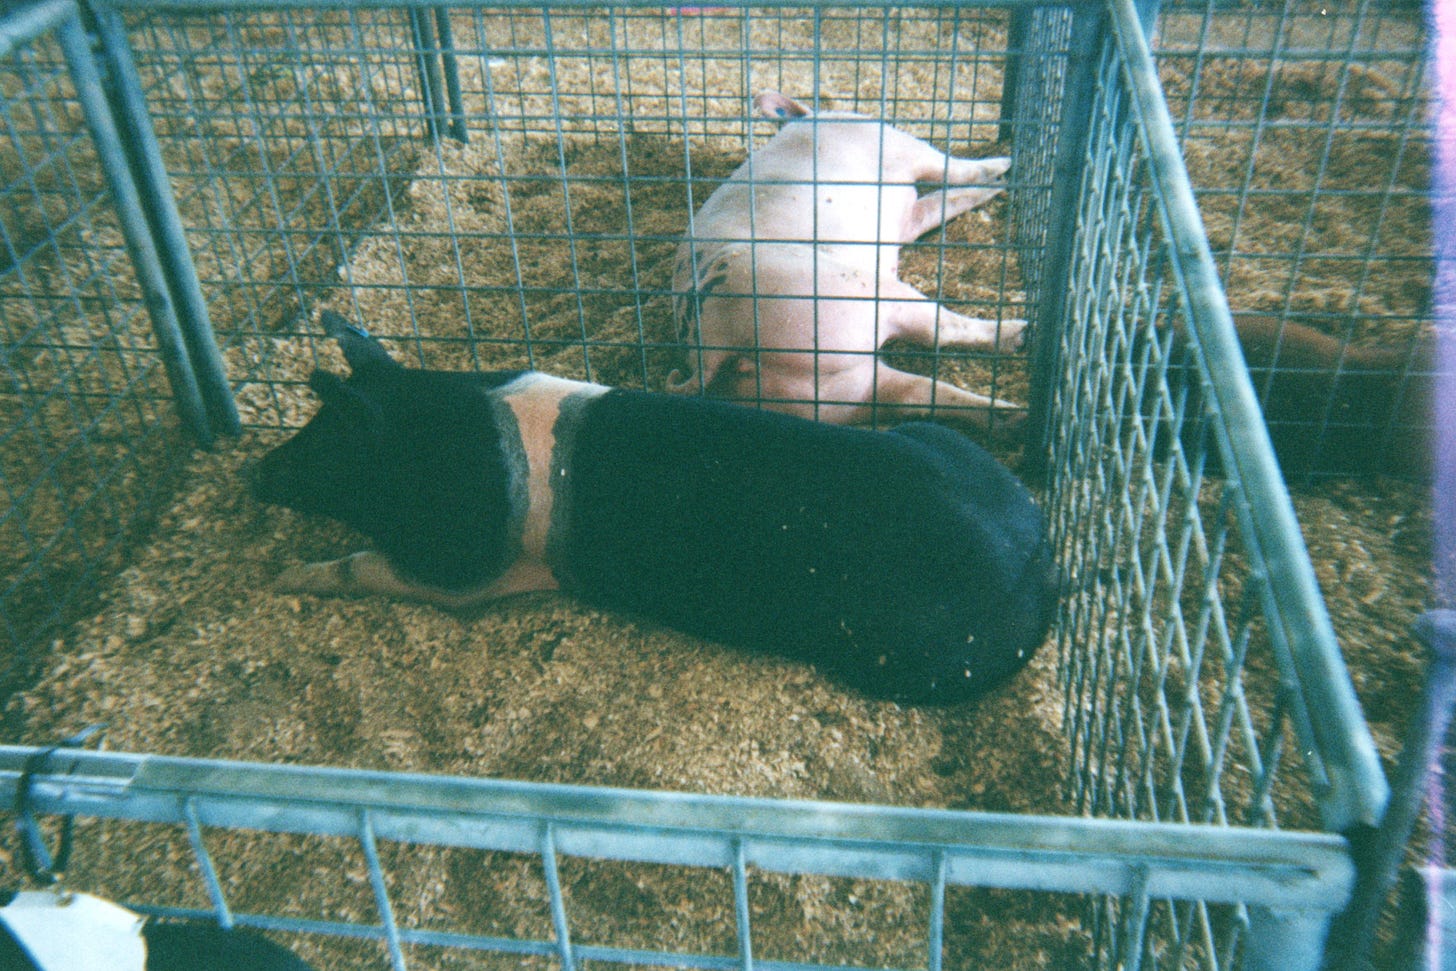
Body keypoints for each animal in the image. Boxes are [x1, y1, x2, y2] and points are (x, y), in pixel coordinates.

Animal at [251, 314, 1057, 705]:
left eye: (324, 445)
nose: (254, 472)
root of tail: (1040, 556)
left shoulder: (466, 569)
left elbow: (364, 568)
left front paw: (287, 576)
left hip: (911, 656)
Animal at [667, 90, 1024, 428]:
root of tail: (719, 340)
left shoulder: (909, 220)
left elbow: (942, 202)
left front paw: (998, 184)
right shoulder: (898, 146)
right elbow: (954, 169)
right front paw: (1004, 166)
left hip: (837, 396)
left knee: (917, 392)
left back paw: (1014, 415)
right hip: (853, 293)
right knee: (939, 330)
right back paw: (1019, 332)